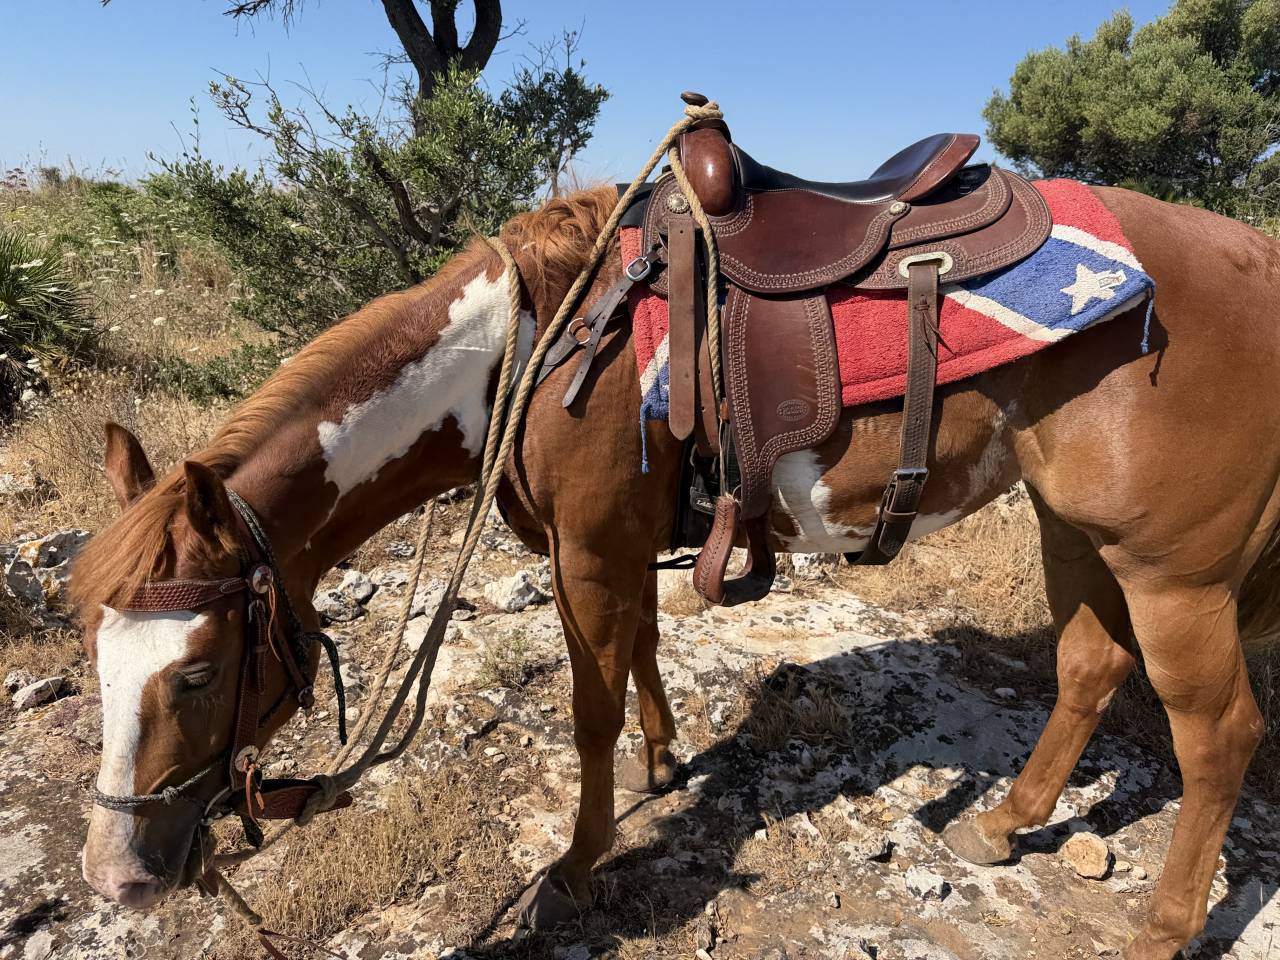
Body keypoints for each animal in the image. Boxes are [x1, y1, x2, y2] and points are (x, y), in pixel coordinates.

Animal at [71, 181, 1280, 960]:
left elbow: (588, 708)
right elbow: (644, 650)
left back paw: (1161, 930)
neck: (531, 346)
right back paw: (1004, 822)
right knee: (1087, 670)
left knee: (1217, 735)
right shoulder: (616, 543)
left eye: (196, 672)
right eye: (94, 660)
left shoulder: (591, 548)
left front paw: (577, 863)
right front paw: (662, 762)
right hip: (1075, 529)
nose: (116, 875)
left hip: (1170, 572)